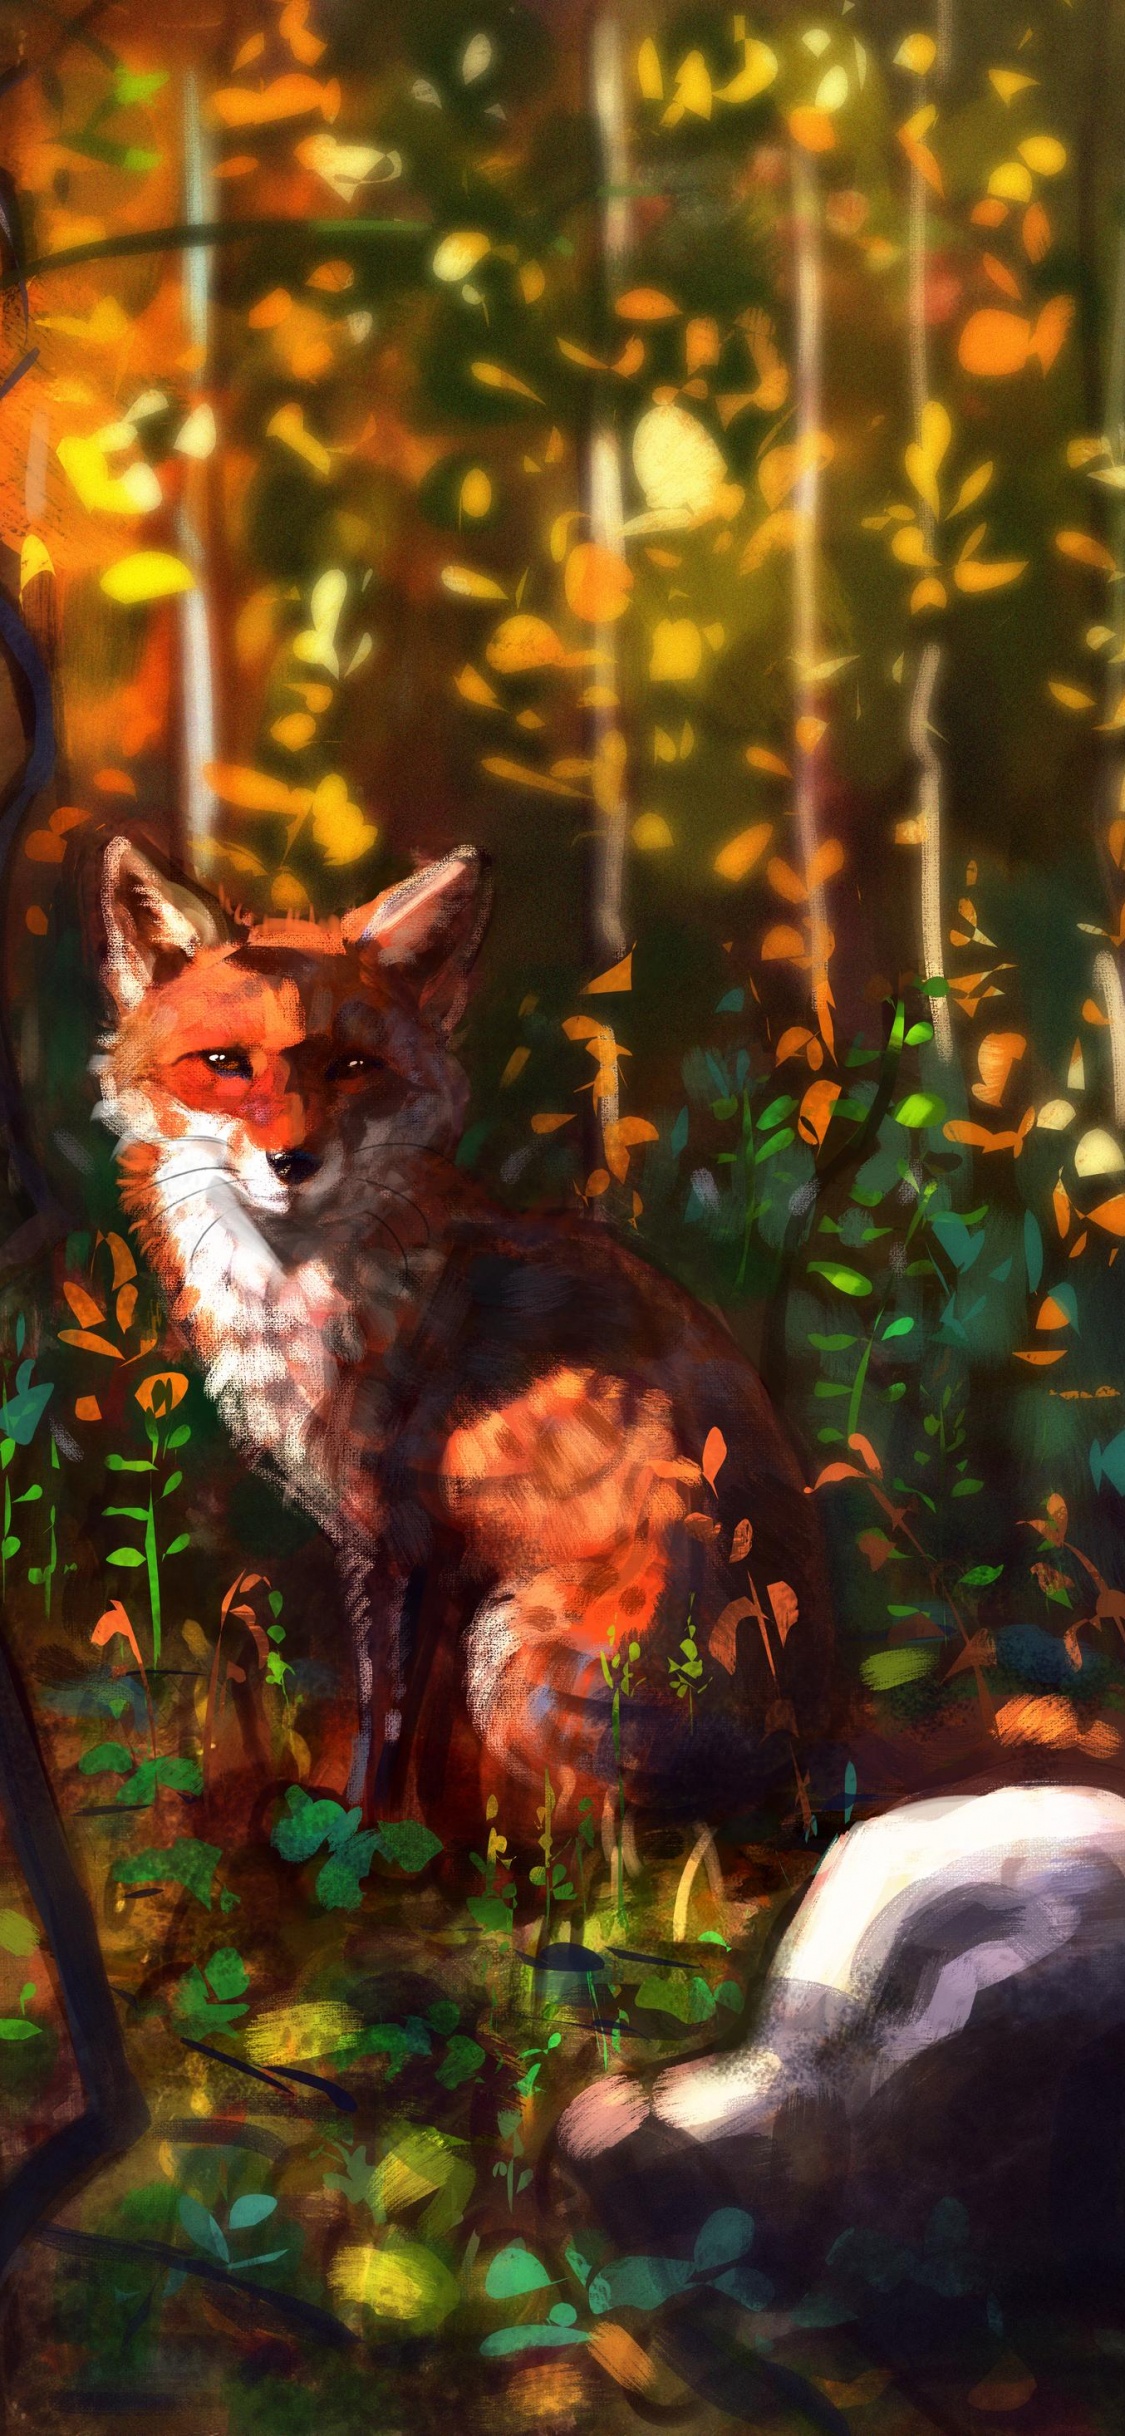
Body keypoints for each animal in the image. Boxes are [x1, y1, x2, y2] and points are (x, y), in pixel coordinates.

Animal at [96, 834, 833, 1837]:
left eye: (353, 1067)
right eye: (225, 1063)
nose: (294, 1162)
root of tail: (811, 1761)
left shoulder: (398, 1540)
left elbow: (387, 1720)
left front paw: (365, 1838)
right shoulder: (427, 1562)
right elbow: (417, 1728)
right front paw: (407, 1830)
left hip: (515, 1644)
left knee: (618, 1837)